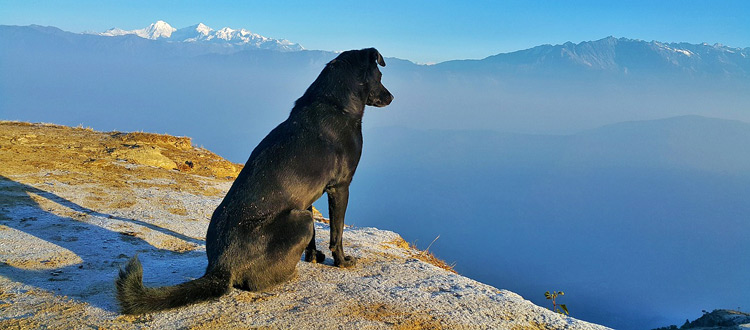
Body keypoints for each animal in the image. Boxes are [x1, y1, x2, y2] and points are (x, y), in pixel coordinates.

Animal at [116, 47, 394, 314]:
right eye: (380, 76)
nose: (391, 98)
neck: (334, 102)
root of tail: (221, 266)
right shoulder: (340, 187)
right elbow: (338, 232)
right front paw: (342, 261)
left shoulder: (306, 197)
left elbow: (317, 236)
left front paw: (314, 256)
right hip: (301, 220)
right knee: (256, 282)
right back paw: (289, 274)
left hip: (299, 213)